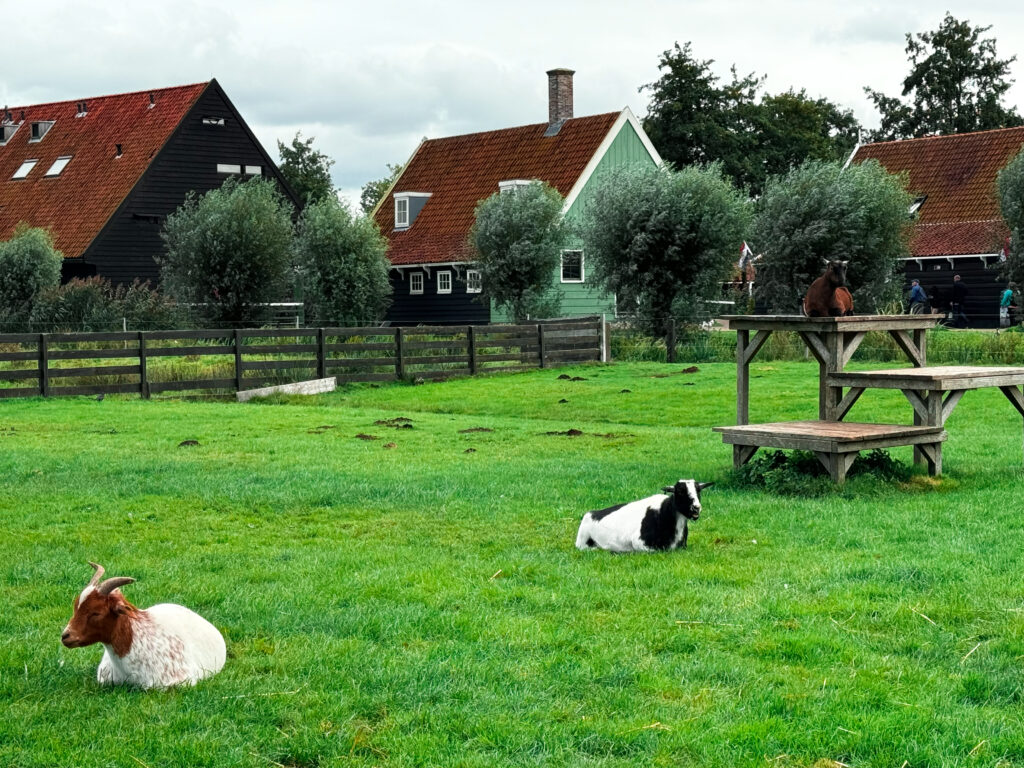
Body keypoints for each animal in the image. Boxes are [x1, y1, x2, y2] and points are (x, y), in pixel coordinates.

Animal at [575, 479, 712, 553]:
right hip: (582, 540)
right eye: (680, 491)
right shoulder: (638, 543)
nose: (696, 508)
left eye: (698, 490)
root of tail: (593, 513)